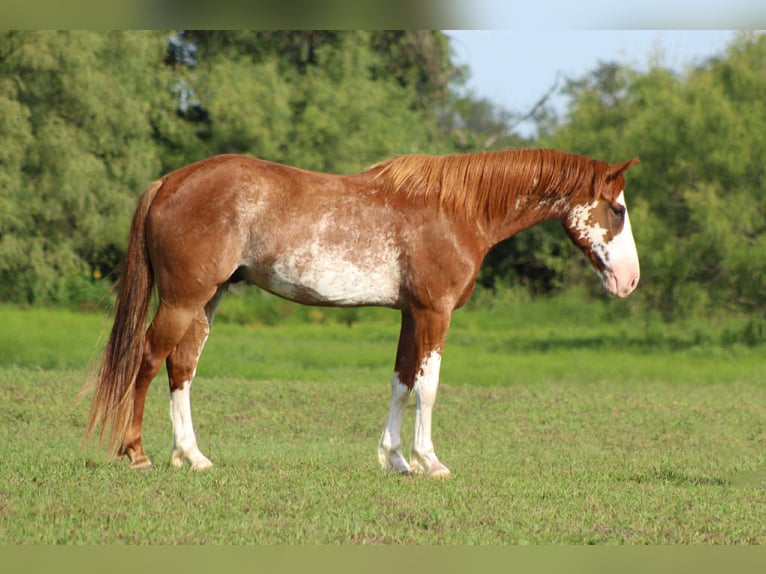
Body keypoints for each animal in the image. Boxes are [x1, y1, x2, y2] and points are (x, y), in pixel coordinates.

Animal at [83, 149, 640, 478]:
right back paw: (137, 453)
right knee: (148, 360)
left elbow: (401, 383)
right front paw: (429, 461)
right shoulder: (434, 313)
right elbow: (429, 388)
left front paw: (394, 459)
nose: (629, 280)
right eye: (618, 210)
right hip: (182, 300)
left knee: (181, 368)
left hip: (207, 299)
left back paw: (192, 456)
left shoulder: (411, 314)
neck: (456, 210)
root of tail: (169, 181)